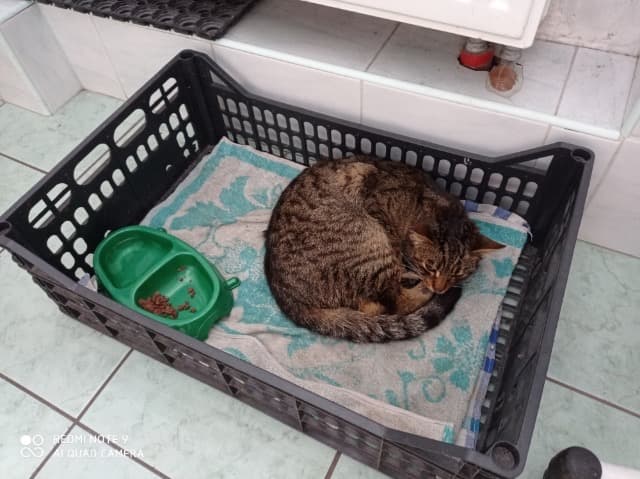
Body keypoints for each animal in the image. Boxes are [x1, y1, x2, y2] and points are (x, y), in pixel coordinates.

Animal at [264, 157, 504, 343]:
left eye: (458, 273)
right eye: (430, 266)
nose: (440, 288)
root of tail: (287, 299)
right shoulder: (379, 212)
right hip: (370, 249)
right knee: (395, 303)